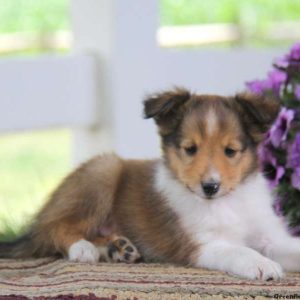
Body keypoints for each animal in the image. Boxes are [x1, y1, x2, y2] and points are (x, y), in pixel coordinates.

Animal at [1, 88, 298, 280]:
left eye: (231, 151)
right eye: (190, 149)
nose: (210, 187)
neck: (229, 202)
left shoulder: (270, 236)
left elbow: (288, 245)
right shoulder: (199, 244)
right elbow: (238, 249)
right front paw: (262, 265)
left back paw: (118, 248)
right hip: (104, 169)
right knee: (53, 228)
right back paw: (83, 248)